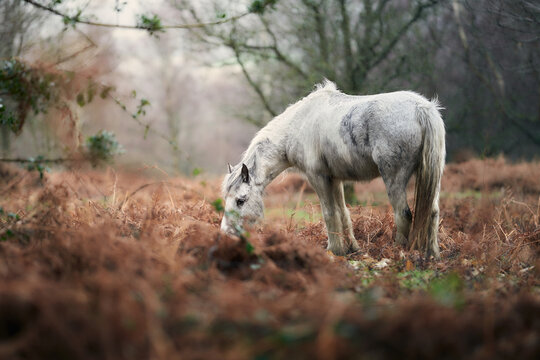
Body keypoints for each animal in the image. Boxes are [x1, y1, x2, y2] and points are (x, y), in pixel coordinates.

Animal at [221, 80, 446, 258]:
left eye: (241, 200)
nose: (225, 234)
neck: (298, 124)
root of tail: (422, 108)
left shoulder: (318, 177)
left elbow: (329, 214)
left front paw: (334, 250)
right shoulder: (335, 179)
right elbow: (343, 213)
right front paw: (352, 249)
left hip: (393, 177)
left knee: (403, 214)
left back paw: (397, 252)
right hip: (433, 178)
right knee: (433, 211)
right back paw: (432, 254)